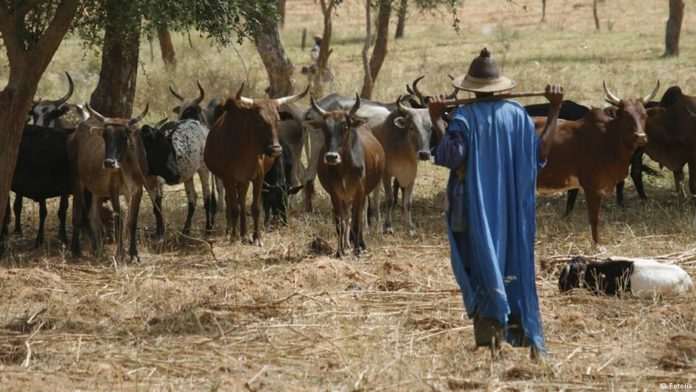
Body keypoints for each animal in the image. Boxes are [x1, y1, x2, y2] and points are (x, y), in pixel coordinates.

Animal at [68, 104, 150, 260]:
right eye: (105, 136)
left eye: (124, 136)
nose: (109, 163)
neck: (128, 165)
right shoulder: (113, 190)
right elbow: (119, 221)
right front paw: (121, 253)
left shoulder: (138, 190)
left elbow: (132, 221)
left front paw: (134, 254)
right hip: (77, 181)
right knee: (77, 215)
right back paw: (75, 250)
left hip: (97, 191)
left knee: (93, 216)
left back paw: (99, 249)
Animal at [204, 86, 308, 245]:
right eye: (258, 119)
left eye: (277, 119)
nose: (276, 149)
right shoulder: (228, 178)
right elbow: (234, 207)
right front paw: (233, 237)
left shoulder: (258, 177)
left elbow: (255, 207)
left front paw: (256, 237)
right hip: (227, 179)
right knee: (231, 201)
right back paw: (231, 232)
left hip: (244, 181)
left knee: (241, 202)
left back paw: (244, 234)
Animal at [314, 95, 388, 258]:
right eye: (324, 128)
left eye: (345, 128)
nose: (331, 157)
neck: (344, 168)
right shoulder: (335, 195)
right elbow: (339, 224)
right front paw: (339, 251)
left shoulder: (359, 192)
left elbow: (356, 222)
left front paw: (357, 251)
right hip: (346, 197)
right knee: (346, 218)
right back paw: (347, 245)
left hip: (363, 194)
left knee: (360, 217)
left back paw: (361, 244)